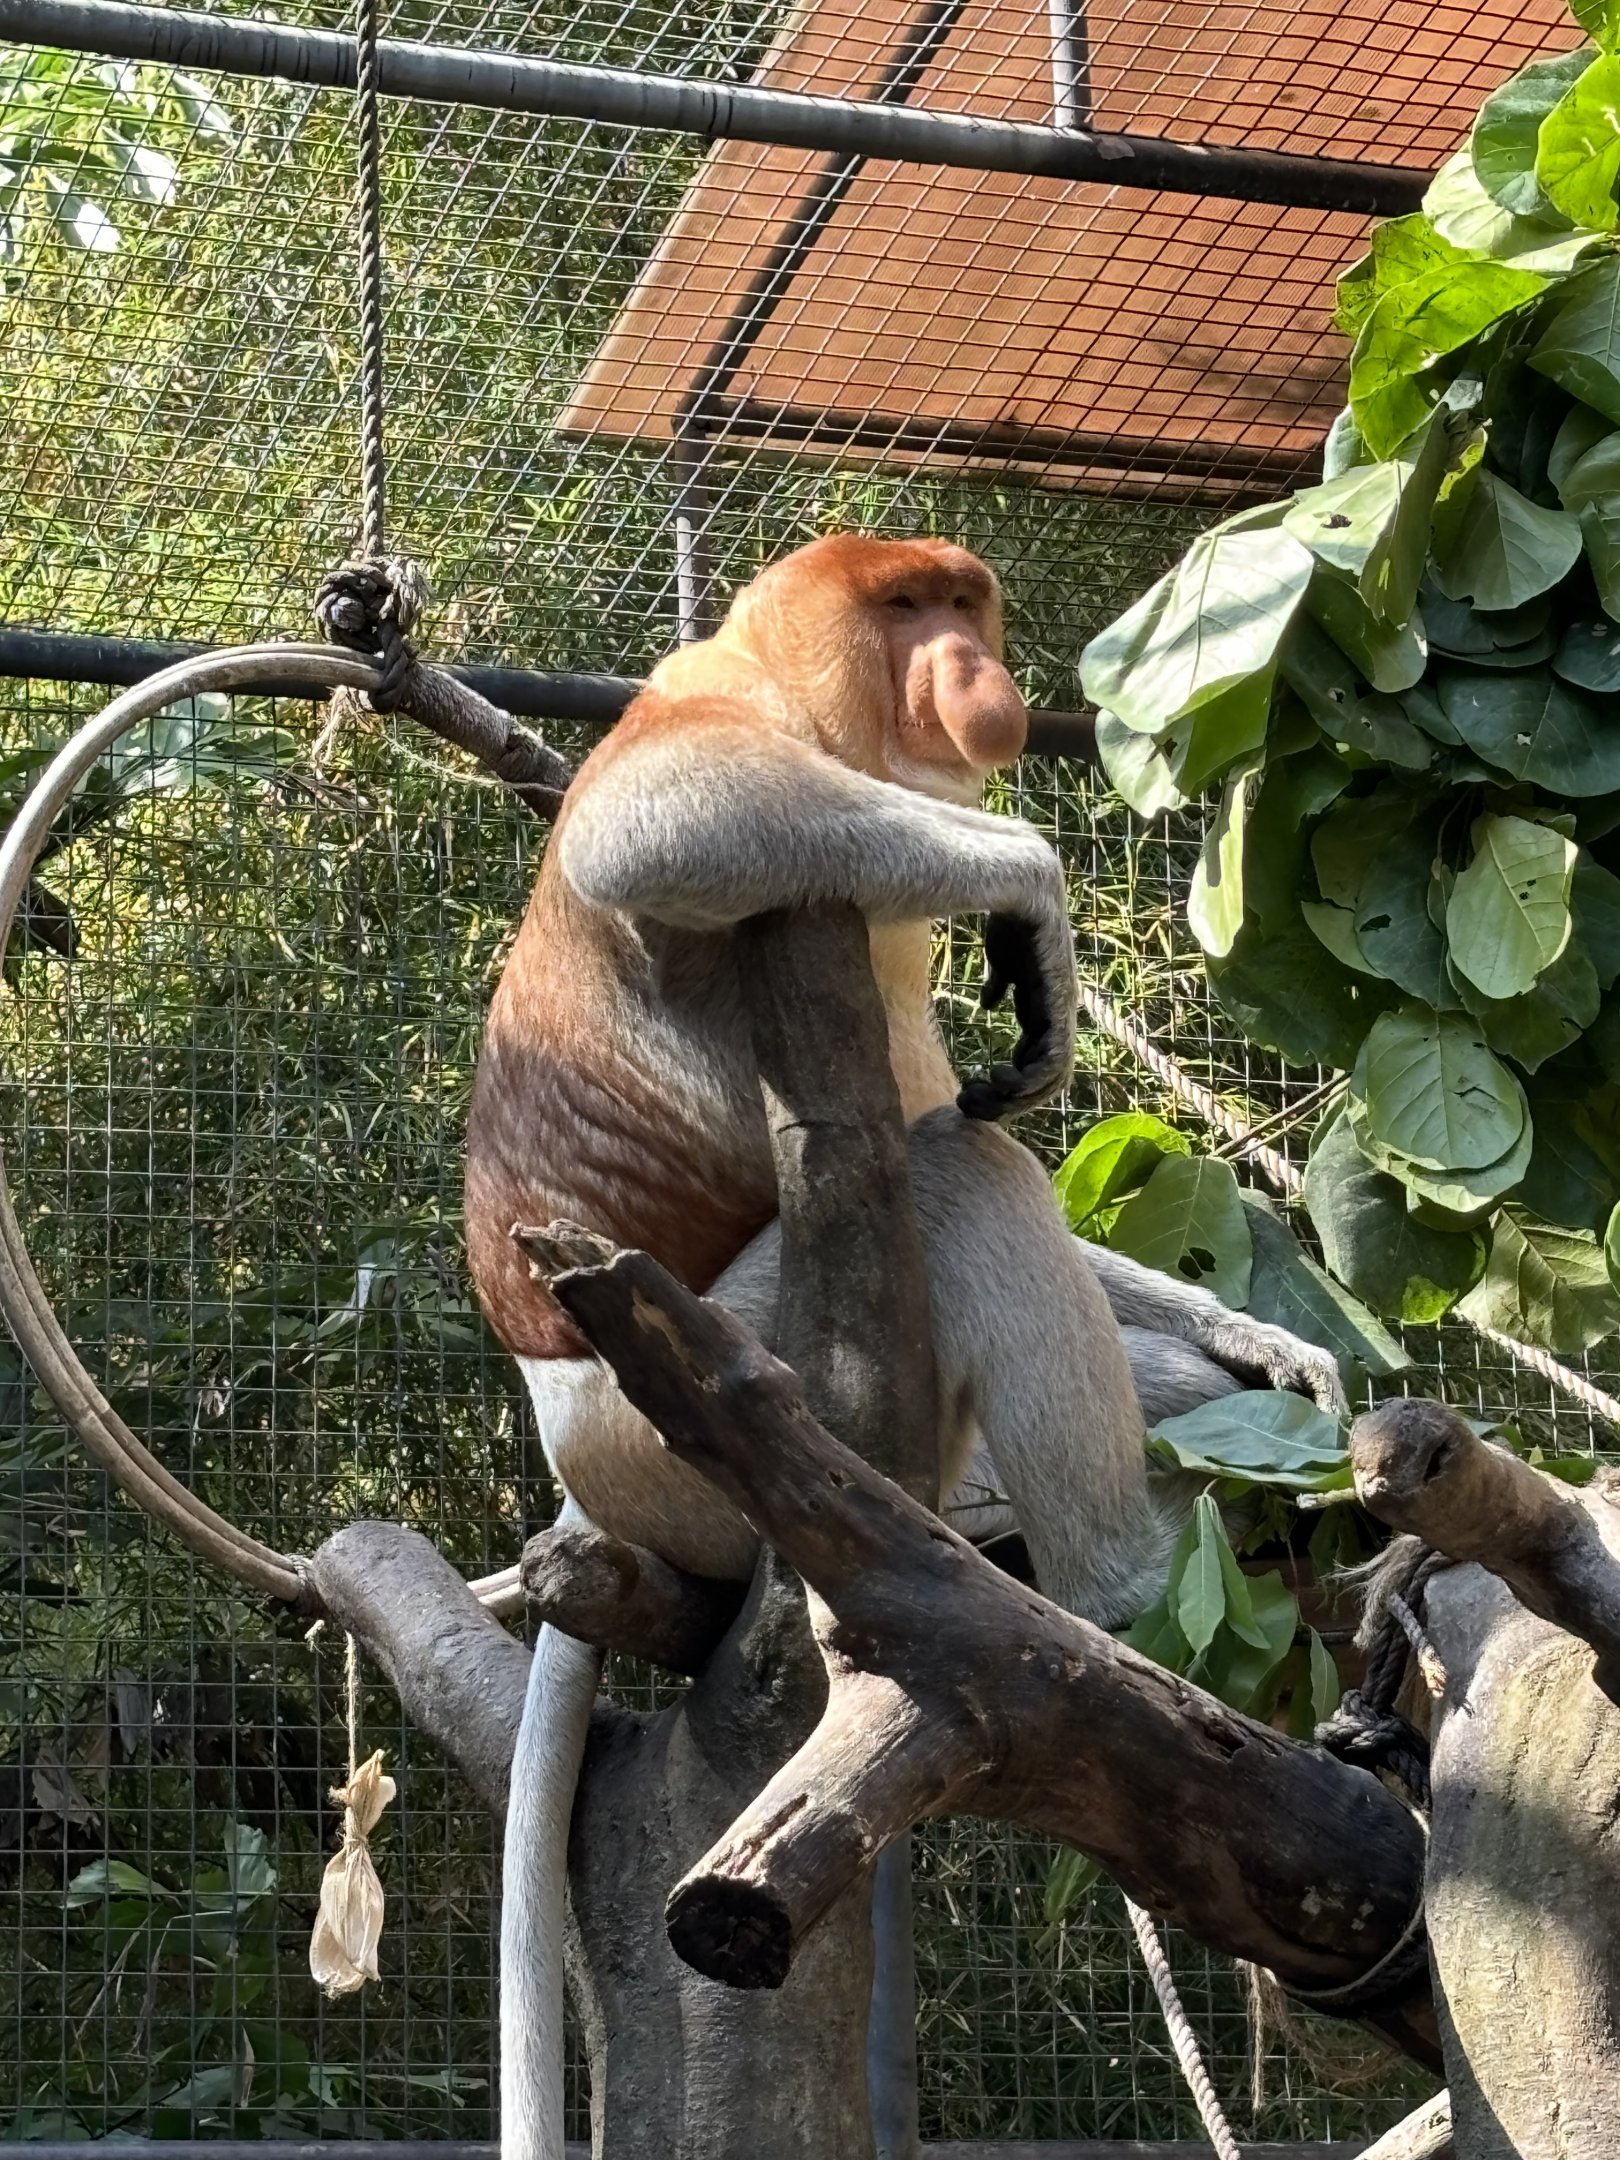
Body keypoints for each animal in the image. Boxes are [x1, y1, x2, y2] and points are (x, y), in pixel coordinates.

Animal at [465, 533, 1342, 2160]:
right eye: (904, 608)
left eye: (962, 600)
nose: (976, 673)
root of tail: (573, 1467)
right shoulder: (701, 703)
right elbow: (646, 823)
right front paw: (1033, 900)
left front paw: (1268, 1343)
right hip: (697, 1402)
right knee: (949, 1178)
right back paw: (1123, 1592)